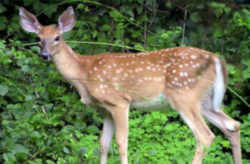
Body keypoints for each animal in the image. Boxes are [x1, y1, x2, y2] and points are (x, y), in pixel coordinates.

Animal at [20, 6, 242, 164]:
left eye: (57, 37)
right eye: (38, 38)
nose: (44, 55)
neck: (84, 72)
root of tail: (216, 59)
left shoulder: (119, 102)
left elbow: (122, 142)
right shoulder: (104, 109)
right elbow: (103, 143)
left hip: (184, 95)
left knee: (205, 136)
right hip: (206, 101)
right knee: (232, 125)